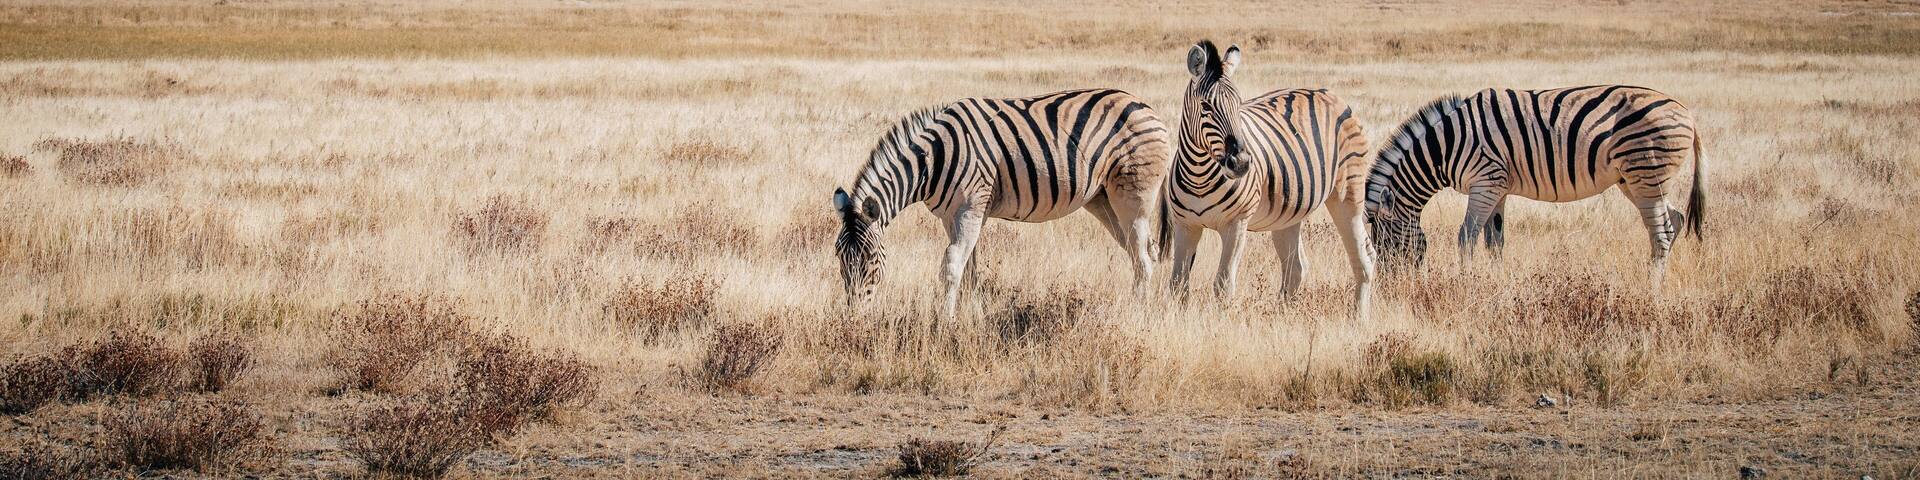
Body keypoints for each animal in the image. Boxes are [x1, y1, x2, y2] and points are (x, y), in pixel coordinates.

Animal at [833, 89, 1172, 317]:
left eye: (869, 258)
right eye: (839, 257)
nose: (853, 317)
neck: (933, 160)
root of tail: (1146, 106)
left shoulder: (970, 209)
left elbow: (952, 266)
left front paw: (945, 321)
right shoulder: (954, 216)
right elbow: (969, 269)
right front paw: (971, 315)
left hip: (1133, 196)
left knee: (1142, 258)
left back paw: (1137, 314)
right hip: (1103, 200)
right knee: (1144, 252)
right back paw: (1146, 305)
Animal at [1162, 41, 1376, 319]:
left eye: (1239, 105)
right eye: (1206, 107)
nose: (1242, 163)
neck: (1200, 175)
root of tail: (1328, 93)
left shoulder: (1236, 224)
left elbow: (1223, 284)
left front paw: (1220, 323)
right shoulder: (1185, 224)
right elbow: (1177, 284)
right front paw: (1177, 321)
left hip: (1347, 194)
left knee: (1364, 258)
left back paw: (1359, 317)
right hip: (1289, 212)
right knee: (1296, 267)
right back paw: (1282, 316)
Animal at [1365, 85, 1706, 289]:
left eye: (1384, 243)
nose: (1391, 287)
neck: (1446, 147)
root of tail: (1687, 112)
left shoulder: (1484, 182)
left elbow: (1466, 236)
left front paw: (1466, 283)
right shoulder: (1497, 188)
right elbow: (1495, 241)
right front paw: (1496, 283)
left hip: (1645, 171)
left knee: (1661, 232)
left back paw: (1652, 289)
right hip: (1636, 180)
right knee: (1674, 220)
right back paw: (1662, 279)